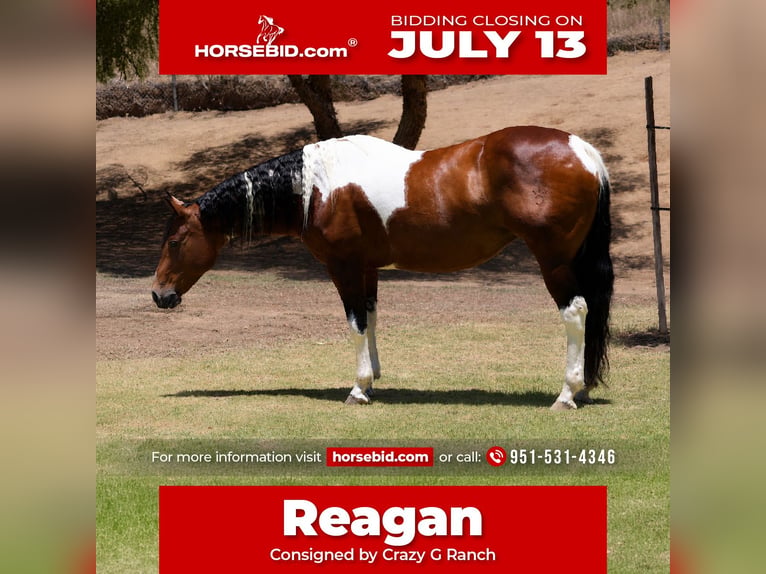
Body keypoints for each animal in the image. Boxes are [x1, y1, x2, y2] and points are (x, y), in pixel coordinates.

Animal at [152, 127, 614, 410]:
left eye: (174, 242)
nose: (159, 294)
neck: (317, 186)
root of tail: (582, 151)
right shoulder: (368, 268)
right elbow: (371, 317)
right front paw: (373, 377)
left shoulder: (344, 266)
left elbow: (355, 321)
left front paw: (358, 389)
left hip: (554, 261)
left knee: (576, 311)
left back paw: (567, 393)